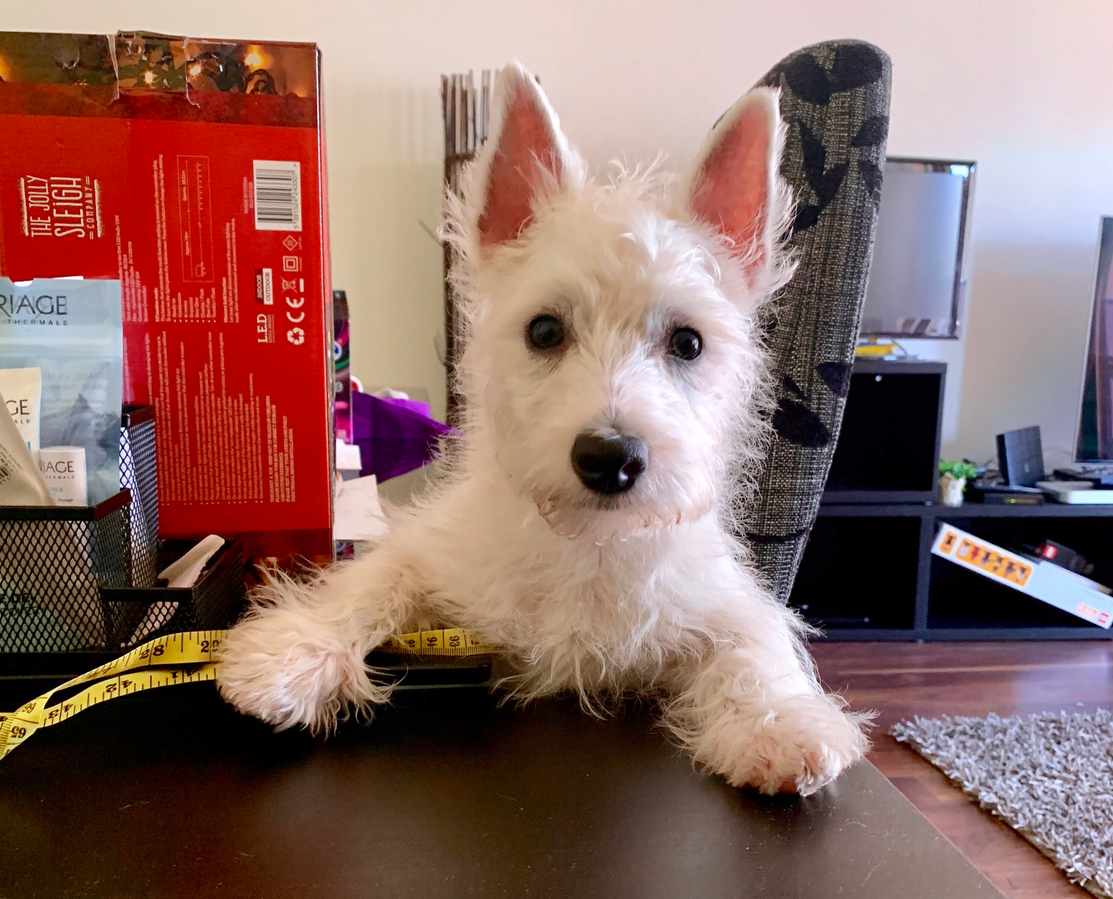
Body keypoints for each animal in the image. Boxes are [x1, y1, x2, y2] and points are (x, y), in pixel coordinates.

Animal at [219, 61, 868, 792]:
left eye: (688, 343)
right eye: (545, 330)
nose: (610, 457)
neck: (587, 547)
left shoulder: (718, 595)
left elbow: (753, 639)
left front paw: (777, 722)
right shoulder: (438, 554)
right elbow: (375, 577)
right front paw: (291, 652)